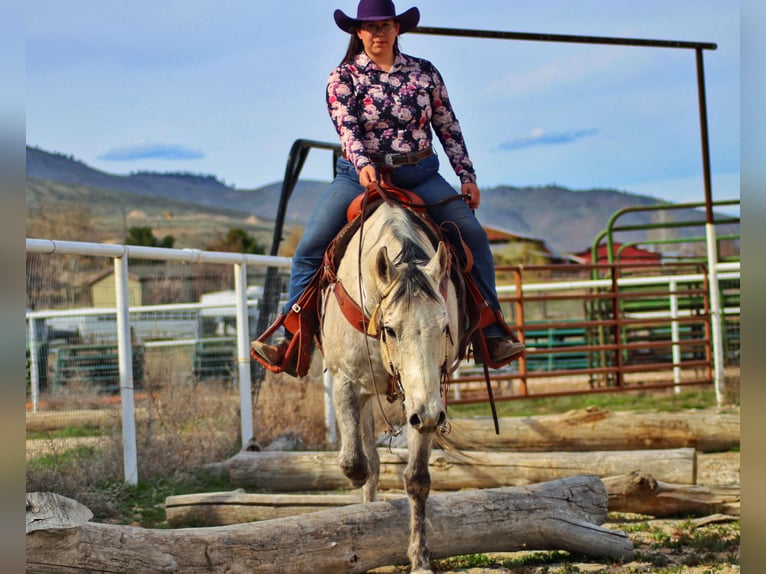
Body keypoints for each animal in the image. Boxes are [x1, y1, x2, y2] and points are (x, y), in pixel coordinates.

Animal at [321, 195, 462, 573]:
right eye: (390, 329)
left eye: (444, 327)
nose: (429, 415)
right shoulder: (345, 382)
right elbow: (355, 462)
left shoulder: (423, 401)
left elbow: (416, 480)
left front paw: (420, 558)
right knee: (366, 457)